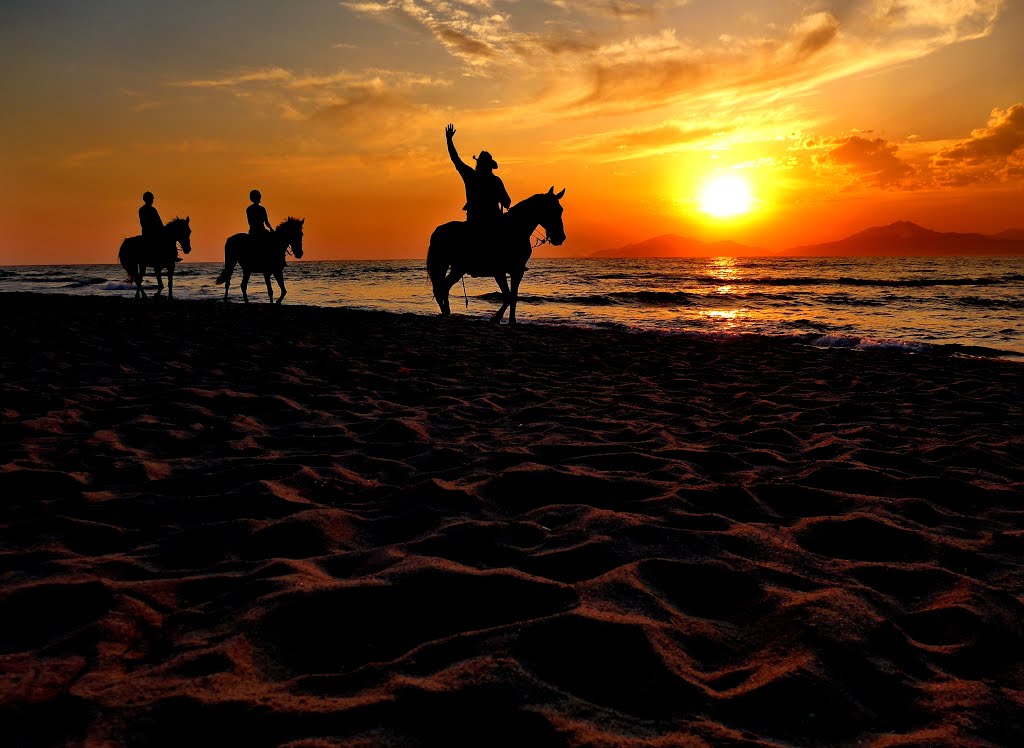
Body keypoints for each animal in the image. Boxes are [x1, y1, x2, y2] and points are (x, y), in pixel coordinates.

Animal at [425, 186, 569, 323]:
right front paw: (496, 317)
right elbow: (508, 296)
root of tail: (438, 231)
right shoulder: (499, 272)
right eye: (551, 209)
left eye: (561, 210)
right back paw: (445, 312)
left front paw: (511, 320)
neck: (515, 230)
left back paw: (447, 312)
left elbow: (513, 296)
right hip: (446, 266)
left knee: (443, 287)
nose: (560, 238)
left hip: (456, 268)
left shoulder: (517, 271)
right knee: (440, 288)